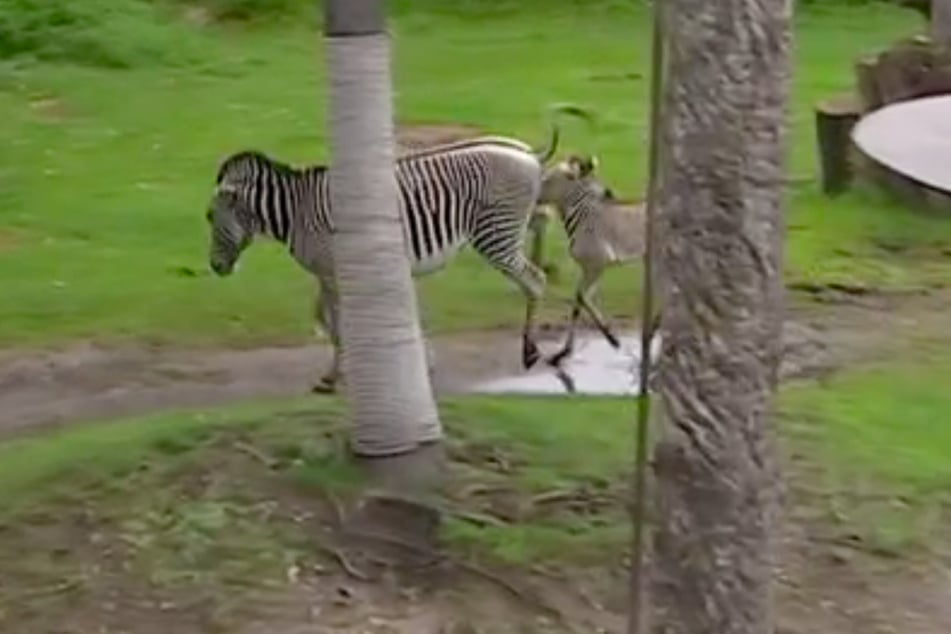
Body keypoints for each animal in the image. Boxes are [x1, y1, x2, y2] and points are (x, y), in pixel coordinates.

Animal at [208, 103, 592, 390]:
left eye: (210, 217)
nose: (214, 267)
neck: (297, 212)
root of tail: (528, 153)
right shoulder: (330, 273)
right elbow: (327, 316)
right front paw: (418, 362)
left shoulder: (332, 272)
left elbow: (335, 322)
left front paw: (335, 376)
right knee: (537, 243)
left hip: (494, 234)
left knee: (534, 278)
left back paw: (530, 351)